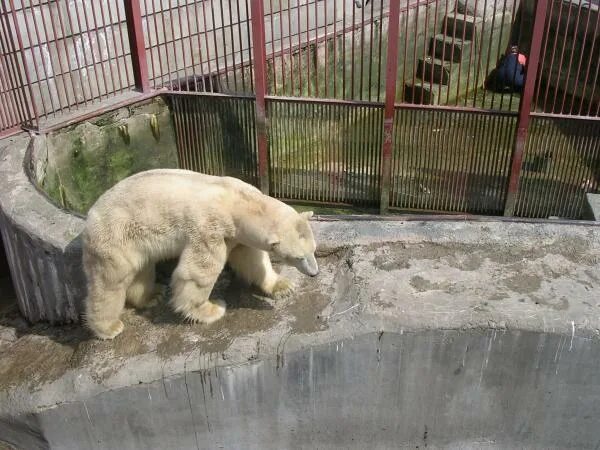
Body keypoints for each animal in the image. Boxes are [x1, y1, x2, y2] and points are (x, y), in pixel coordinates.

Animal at [82, 169, 322, 338]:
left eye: (313, 250)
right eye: (298, 257)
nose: (314, 273)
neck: (237, 202)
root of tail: (90, 215)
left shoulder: (237, 235)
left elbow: (252, 260)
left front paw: (283, 287)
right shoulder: (210, 228)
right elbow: (198, 272)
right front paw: (212, 308)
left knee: (141, 269)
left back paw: (152, 295)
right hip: (116, 237)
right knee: (110, 282)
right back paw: (109, 327)